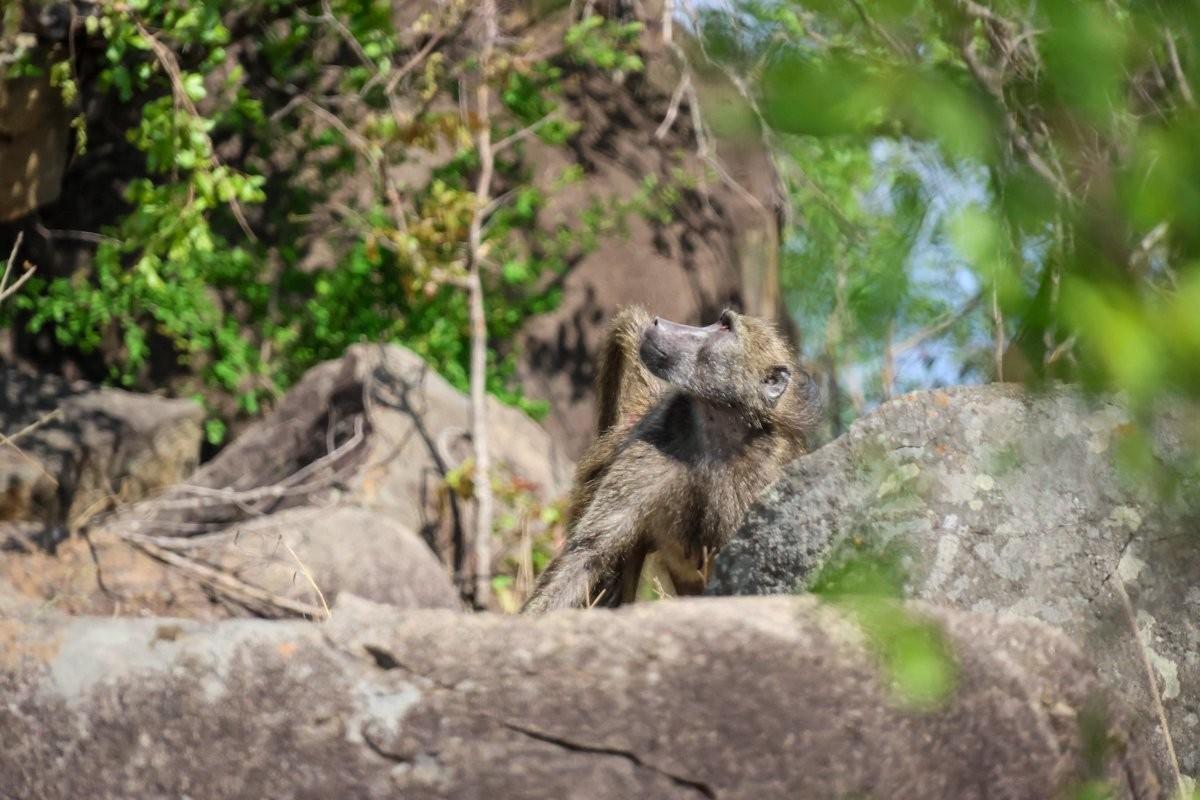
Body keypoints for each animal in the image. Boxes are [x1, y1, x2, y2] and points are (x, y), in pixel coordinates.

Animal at [522, 306, 820, 613]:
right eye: (719, 321)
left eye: (725, 327)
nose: (657, 322)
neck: (717, 429)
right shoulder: (651, 446)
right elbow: (586, 553)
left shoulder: (766, 475)